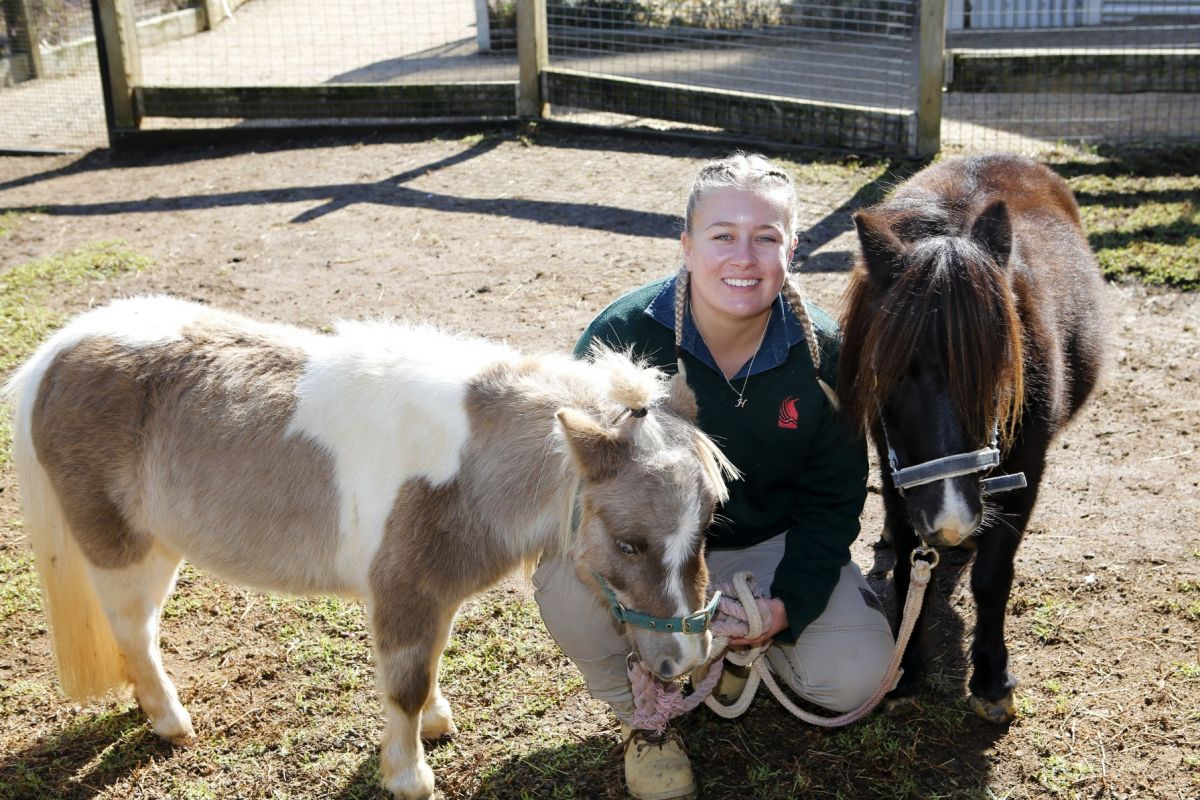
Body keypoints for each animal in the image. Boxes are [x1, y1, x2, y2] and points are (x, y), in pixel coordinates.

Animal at [4, 296, 729, 800]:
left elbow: (429, 667)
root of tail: (58, 352)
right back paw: (171, 722)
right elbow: (404, 686)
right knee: (135, 632)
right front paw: (410, 776)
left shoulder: (433, 599)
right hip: (125, 554)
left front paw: (435, 724)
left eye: (708, 527)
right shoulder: (402, 597)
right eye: (631, 542)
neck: (462, 469)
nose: (685, 660)